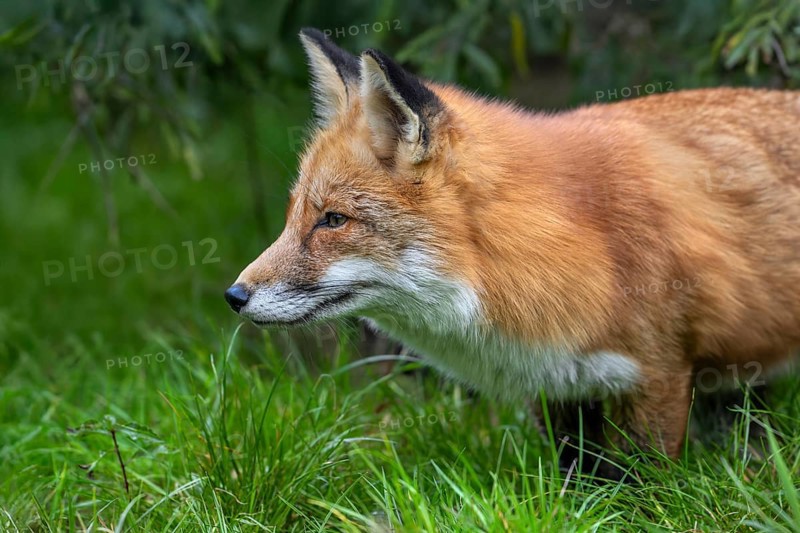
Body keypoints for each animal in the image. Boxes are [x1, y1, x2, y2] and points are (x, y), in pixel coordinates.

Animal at [225, 27, 800, 475]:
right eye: (293, 215)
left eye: (333, 220)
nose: (234, 296)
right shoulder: (565, 389)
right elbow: (580, 484)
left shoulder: (661, 374)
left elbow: (645, 482)